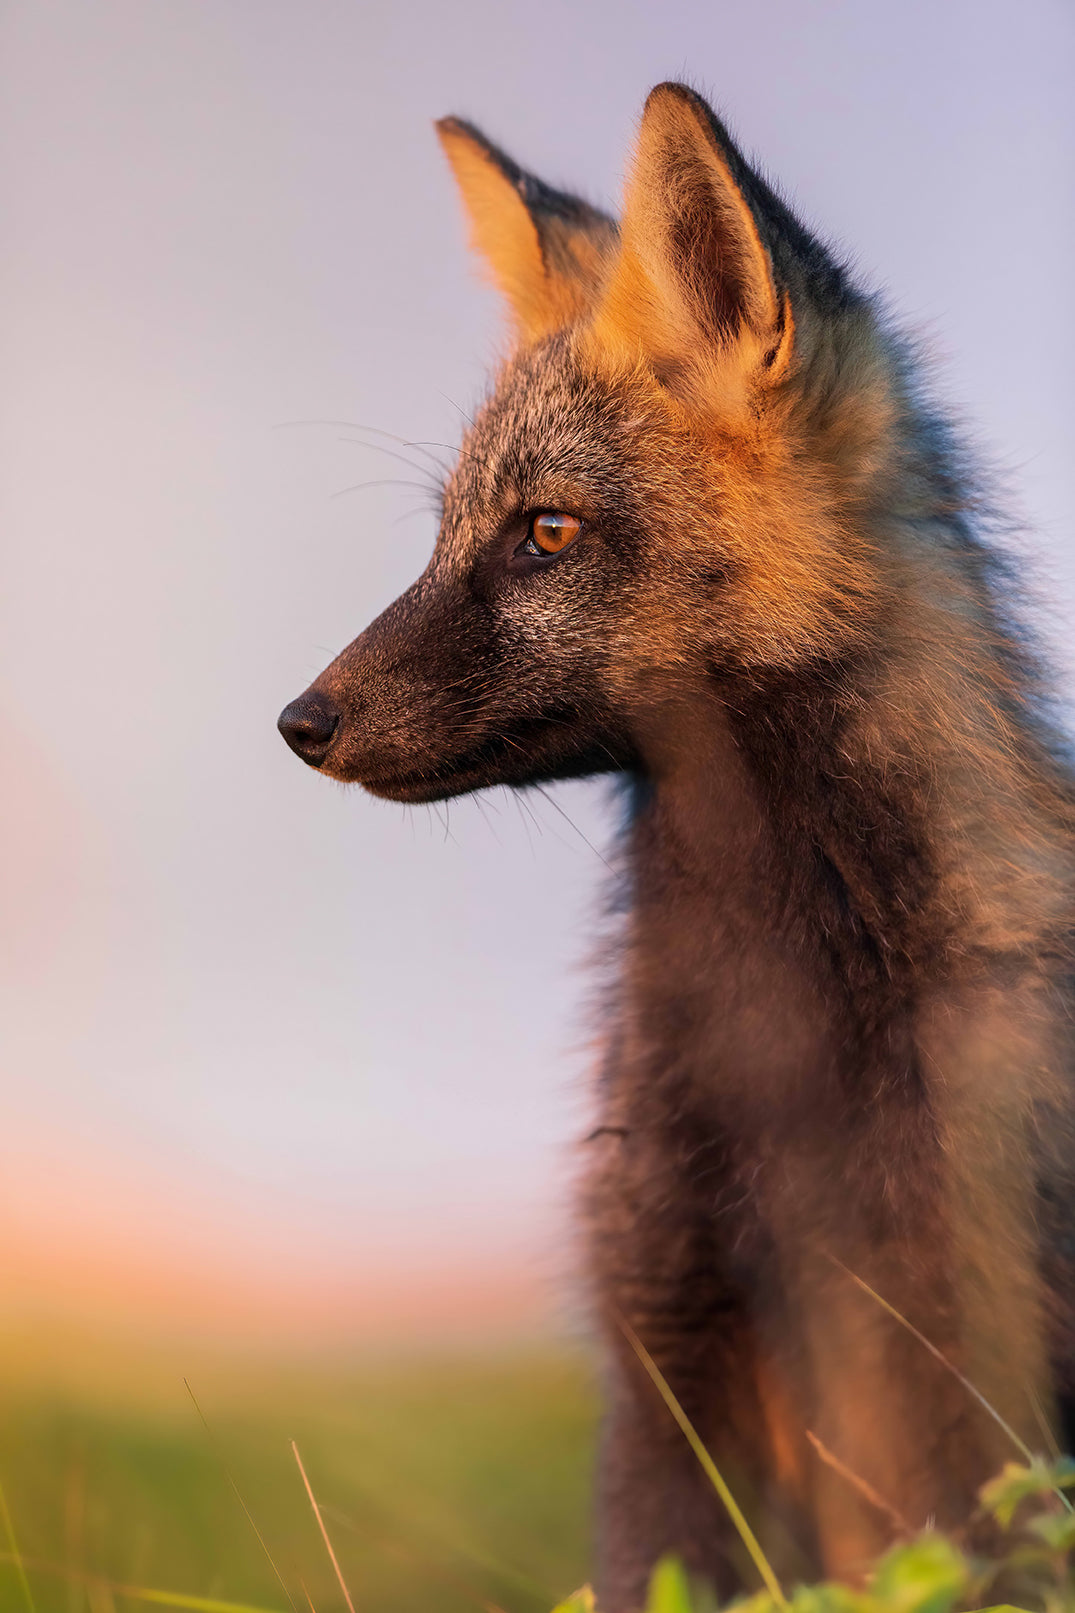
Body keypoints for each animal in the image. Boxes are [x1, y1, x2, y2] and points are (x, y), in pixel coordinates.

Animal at [277, 85, 1071, 1613]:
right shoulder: (664, 1328)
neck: (778, 1053)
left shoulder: (967, 1342)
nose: (299, 721)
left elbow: (973, 1543)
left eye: (545, 531)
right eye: (446, 534)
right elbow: (658, 1560)